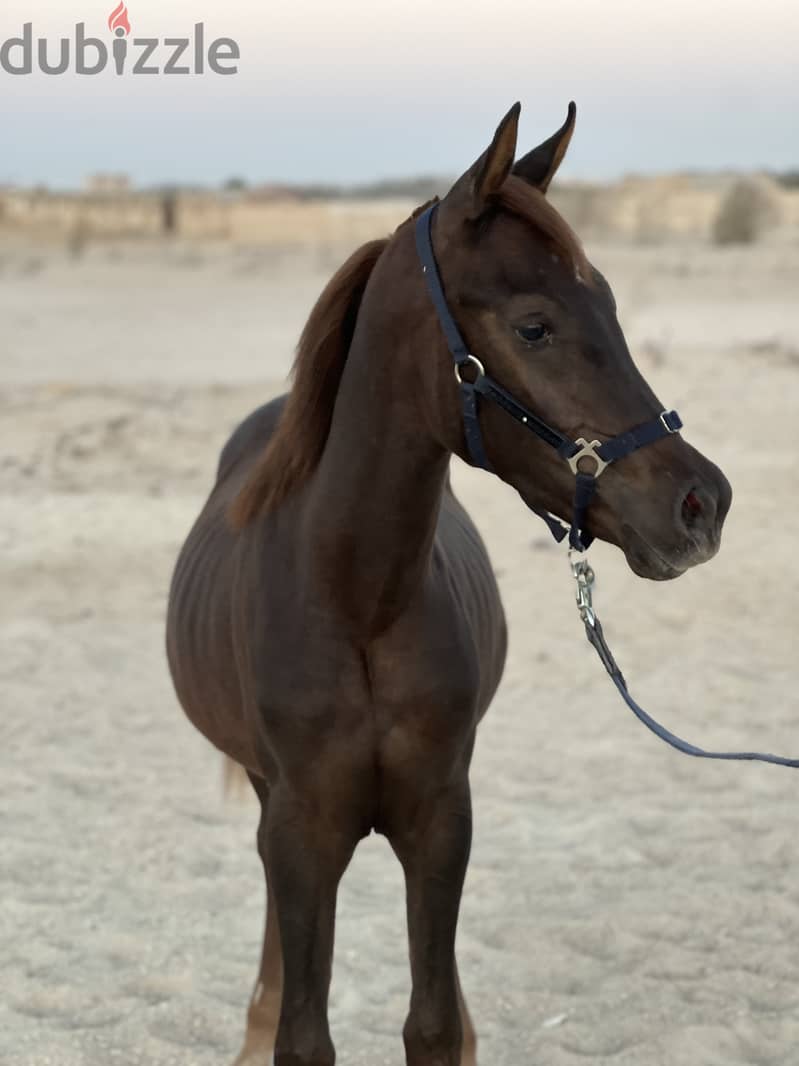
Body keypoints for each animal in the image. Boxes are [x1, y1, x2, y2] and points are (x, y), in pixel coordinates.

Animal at [164, 101, 732, 1066]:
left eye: (612, 309)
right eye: (535, 326)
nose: (702, 503)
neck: (358, 599)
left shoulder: (439, 821)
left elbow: (429, 1022)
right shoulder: (301, 830)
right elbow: (304, 1033)